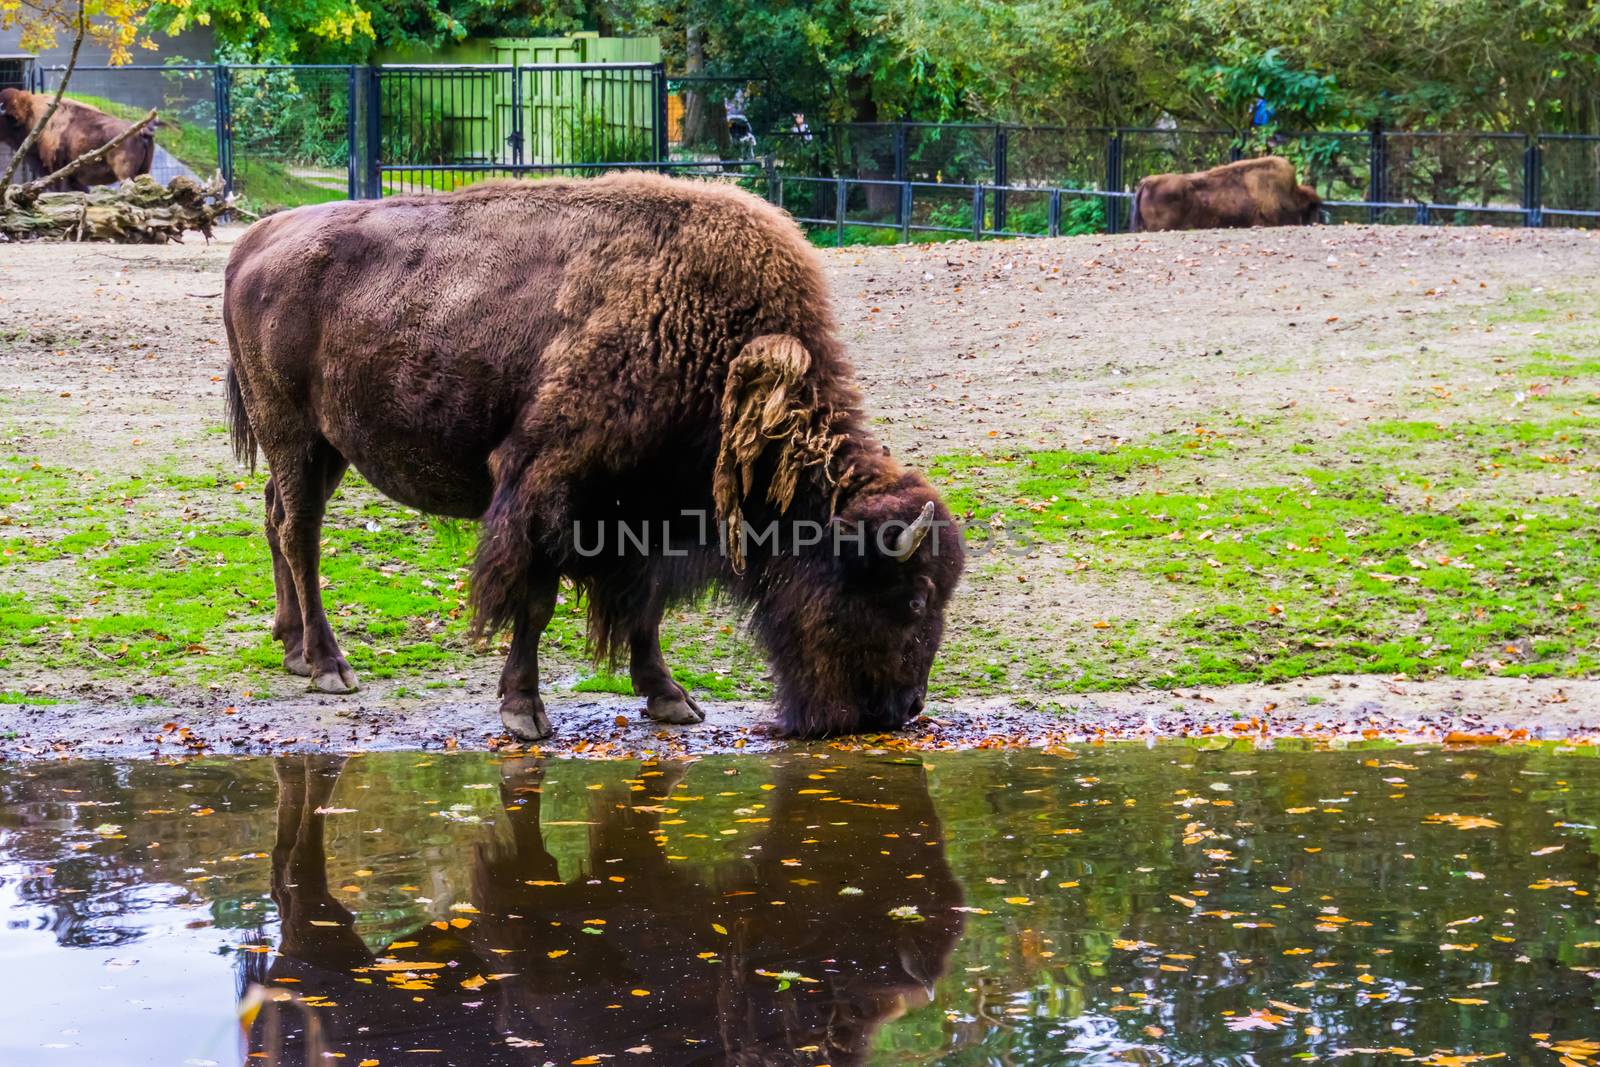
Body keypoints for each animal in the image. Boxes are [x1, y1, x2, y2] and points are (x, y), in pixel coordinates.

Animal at [224, 175, 960, 742]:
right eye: (913, 597)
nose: (904, 709)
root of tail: (257, 239)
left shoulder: (644, 518)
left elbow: (644, 609)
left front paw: (671, 698)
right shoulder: (549, 491)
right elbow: (537, 602)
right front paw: (524, 712)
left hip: (325, 448)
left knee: (276, 518)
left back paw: (291, 646)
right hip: (294, 433)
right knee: (300, 533)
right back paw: (328, 665)